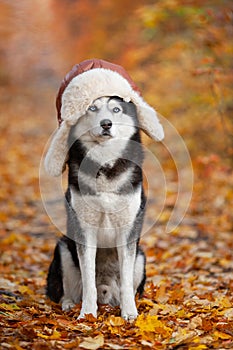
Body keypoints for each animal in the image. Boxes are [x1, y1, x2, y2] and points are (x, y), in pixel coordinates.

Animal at [46, 96, 147, 320]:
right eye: (92, 108)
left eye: (116, 109)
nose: (106, 123)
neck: (105, 164)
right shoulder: (85, 230)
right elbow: (88, 280)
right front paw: (87, 314)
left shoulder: (127, 231)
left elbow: (126, 281)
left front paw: (129, 312)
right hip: (63, 250)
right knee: (66, 292)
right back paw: (69, 304)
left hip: (140, 258)